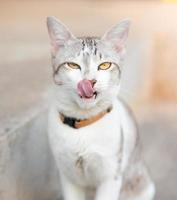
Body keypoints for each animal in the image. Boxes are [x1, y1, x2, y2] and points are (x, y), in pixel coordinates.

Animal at [46, 16, 155, 200]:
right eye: (73, 65)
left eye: (104, 65)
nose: (89, 81)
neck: (84, 124)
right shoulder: (68, 176)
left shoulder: (111, 176)